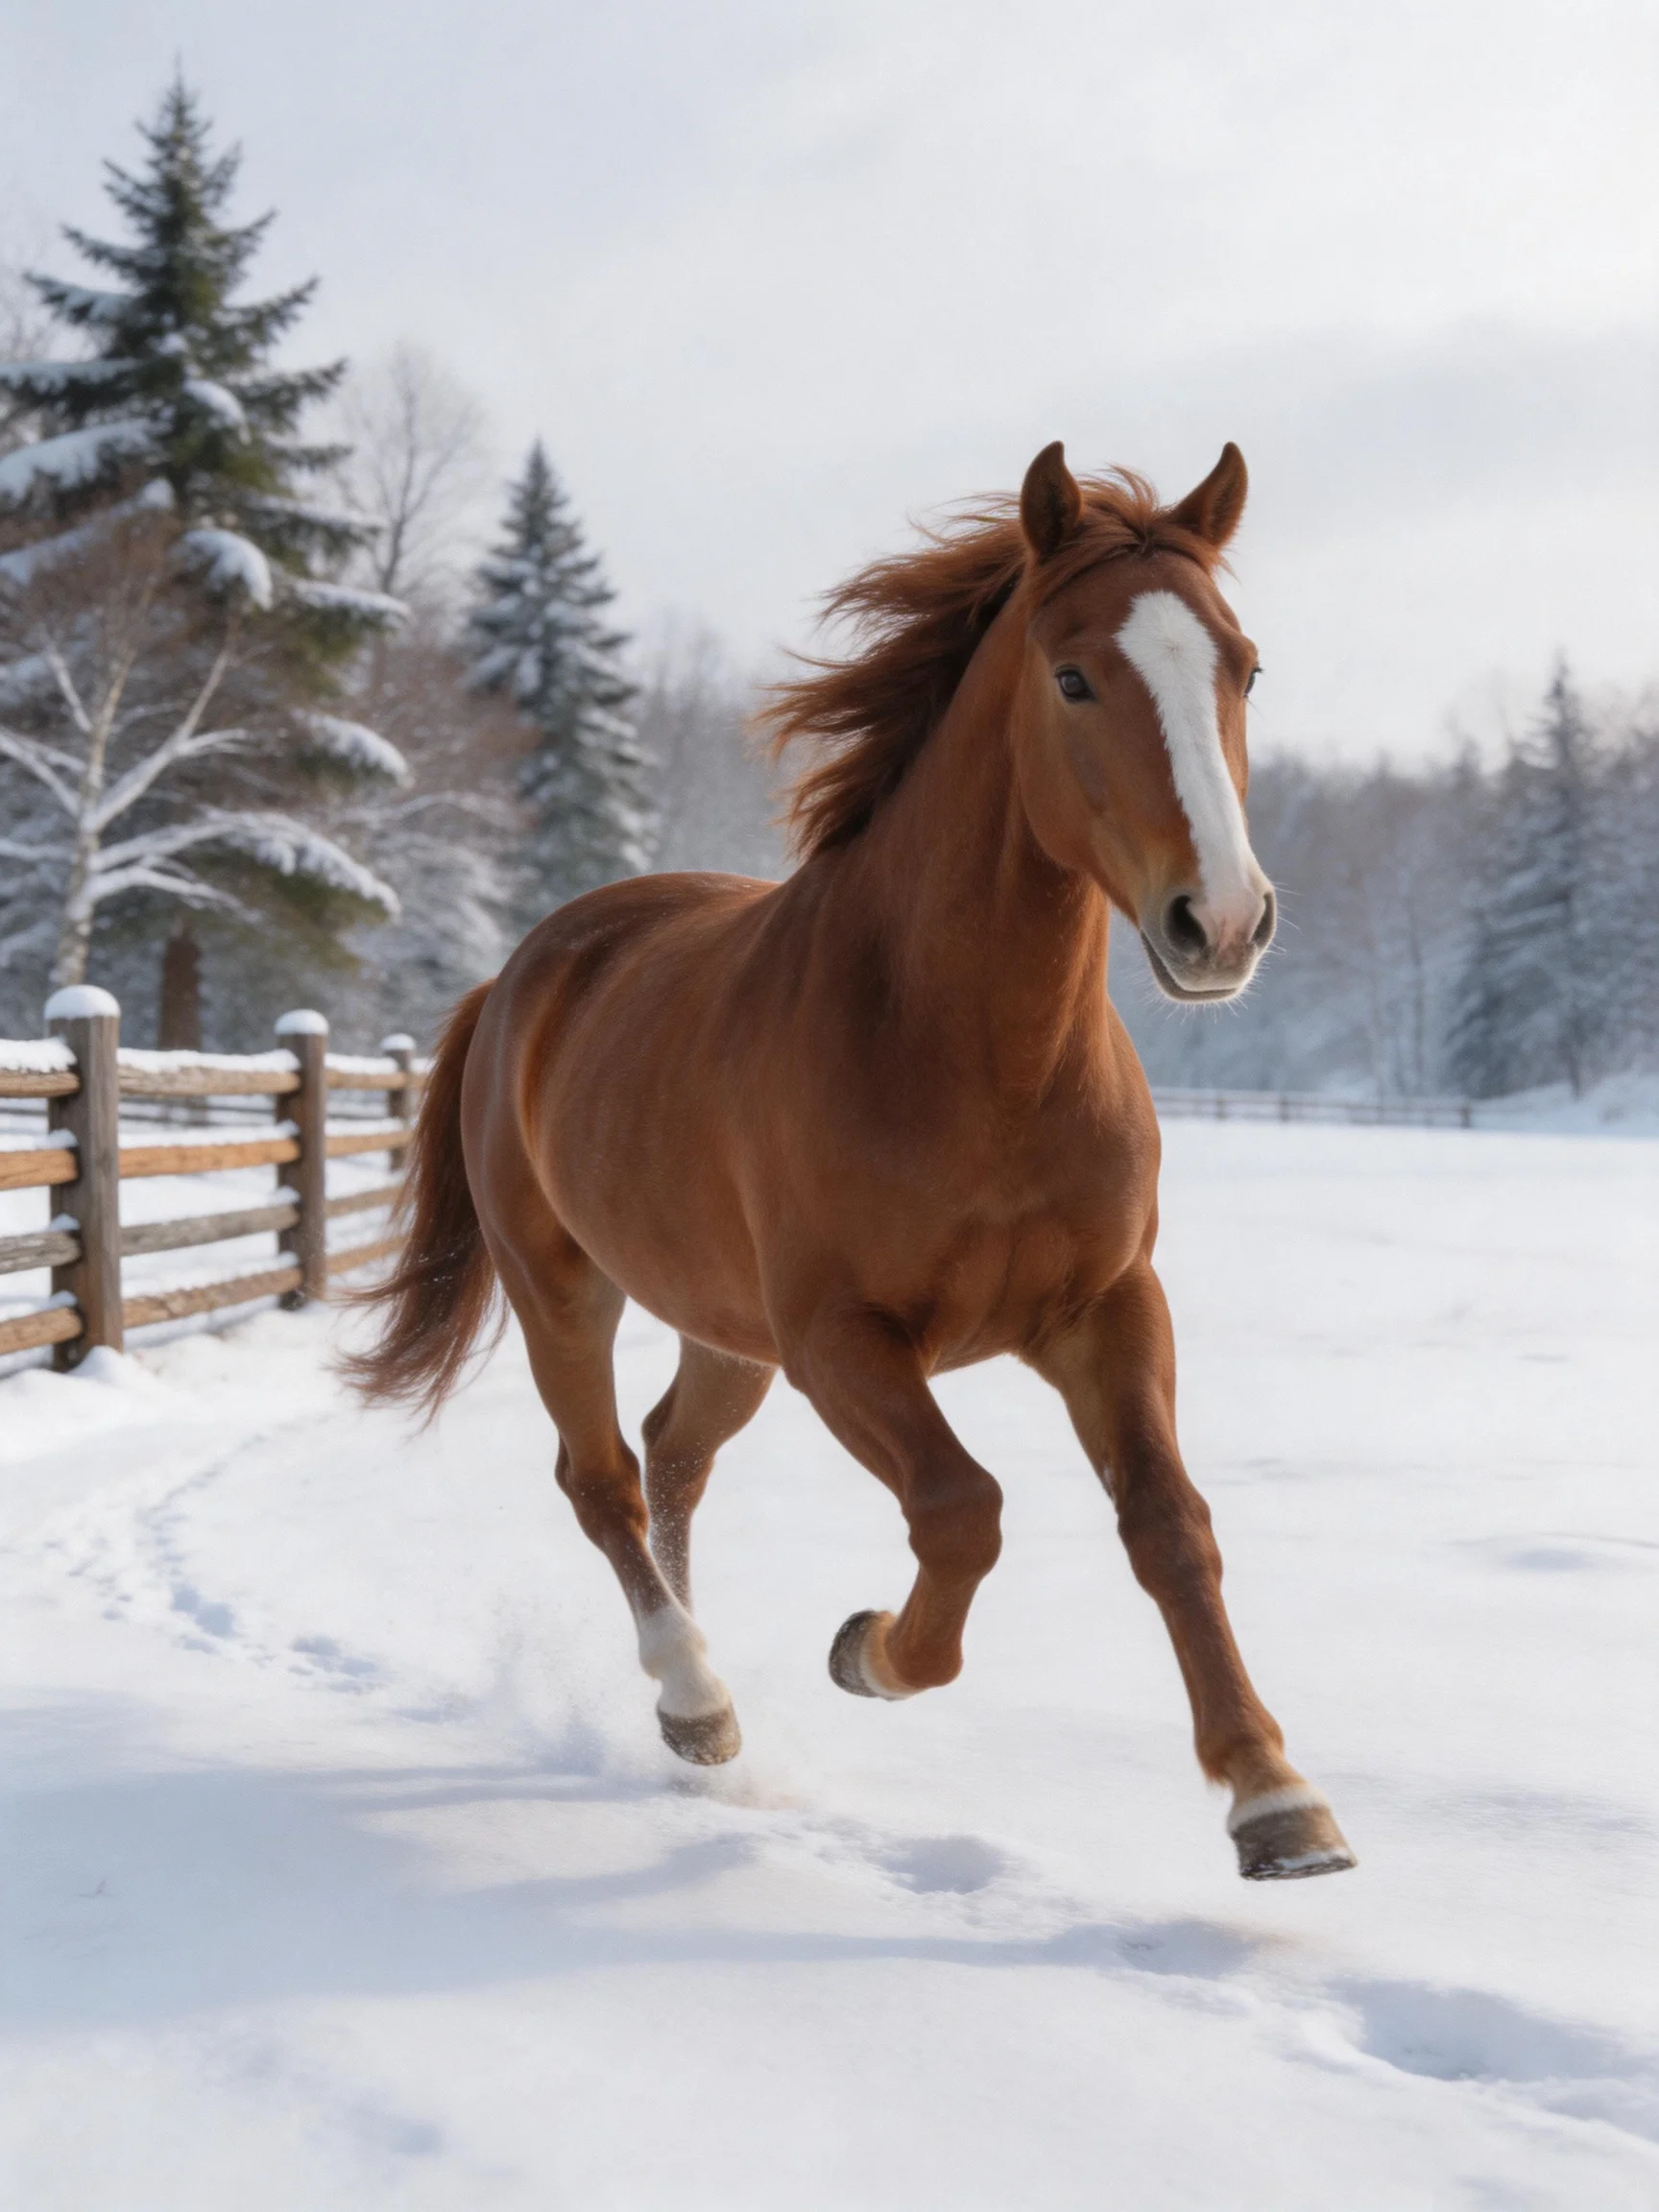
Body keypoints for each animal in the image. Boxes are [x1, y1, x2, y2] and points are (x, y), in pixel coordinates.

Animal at [347, 440, 1355, 1882]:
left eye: (1245, 667)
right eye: (1073, 676)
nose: (1219, 922)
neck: (972, 1057)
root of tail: (522, 973)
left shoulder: (1106, 1308)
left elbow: (1171, 1525)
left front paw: (1276, 1802)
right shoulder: (842, 1338)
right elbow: (962, 1507)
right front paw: (870, 1651)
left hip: (725, 1332)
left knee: (672, 1456)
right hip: (566, 1295)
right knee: (600, 1479)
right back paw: (695, 1702)